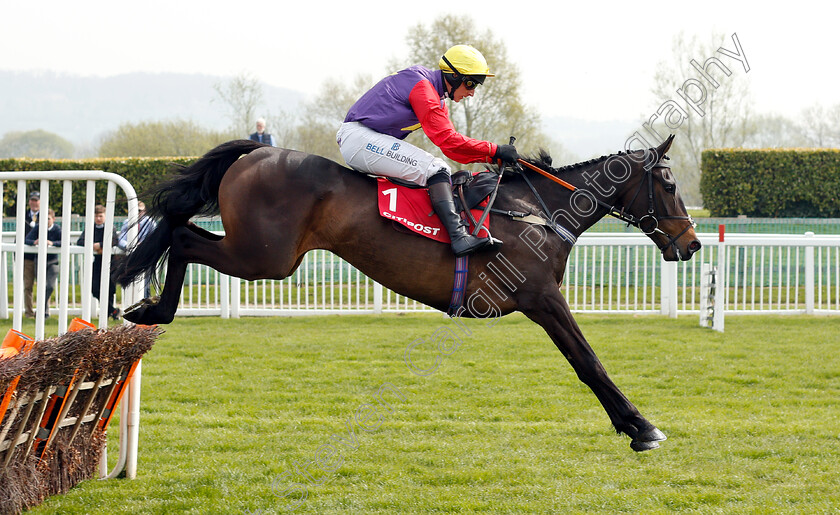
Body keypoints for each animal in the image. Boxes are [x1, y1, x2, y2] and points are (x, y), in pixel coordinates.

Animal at [115, 135, 700, 454]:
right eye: (670, 186)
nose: (692, 244)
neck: (537, 212)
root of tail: (256, 153)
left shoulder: (542, 301)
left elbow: (586, 361)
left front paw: (633, 424)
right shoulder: (542, 299)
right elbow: (588, 361)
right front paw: (640, 426)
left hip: (260, 253)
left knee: (182, 233)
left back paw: (147, 304)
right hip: (265, 258)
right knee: (182, 238)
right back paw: (152, 304)